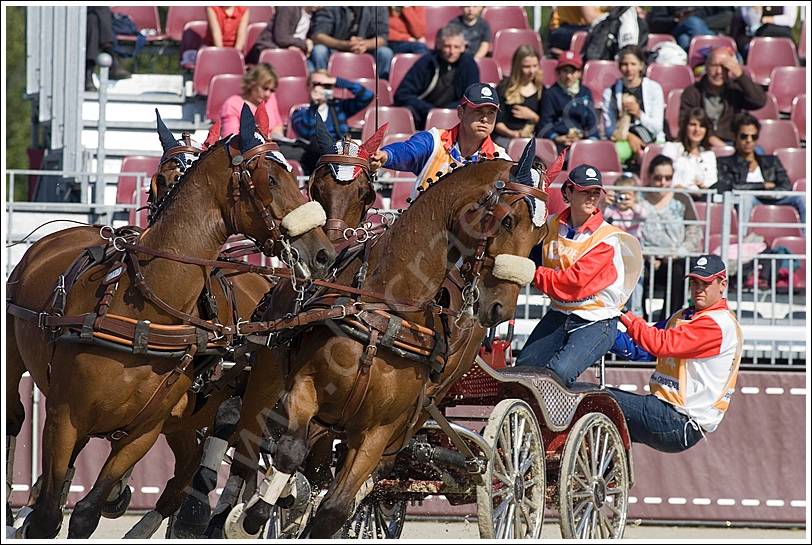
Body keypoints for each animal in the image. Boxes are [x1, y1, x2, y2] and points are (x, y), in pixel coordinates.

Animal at [4, 105, 335, 538]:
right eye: (271, 179)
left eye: (292, 177)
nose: (324, 254)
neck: (145, 311)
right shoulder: (64, 418)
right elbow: (47, 515)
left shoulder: (144, 432)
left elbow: (86, 513)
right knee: (14, 418)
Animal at [222, 139, 550, 538]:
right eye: (507, 220)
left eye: (540, 237)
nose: (501, 306)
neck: (388, 311)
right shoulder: (305, 389)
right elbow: (289, 452)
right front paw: (256, 515)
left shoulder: (383, 428)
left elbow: (335, 507)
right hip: (266, 388)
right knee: (249, 451)